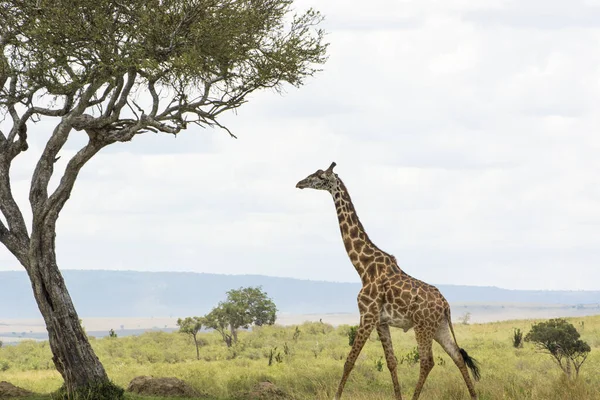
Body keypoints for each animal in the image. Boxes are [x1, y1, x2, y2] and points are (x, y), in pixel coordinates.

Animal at [298, 161, 480, 398]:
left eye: (319, 176)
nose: (299, 183)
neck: (364, 268)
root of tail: (446, 305)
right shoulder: (381, 321)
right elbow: (391, 362)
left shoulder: (367, 315)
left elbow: (349, 361)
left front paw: (336, 396)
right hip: (439, 327)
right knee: (457, 356)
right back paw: (474, 395)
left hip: (423, 326)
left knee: (427, 361)